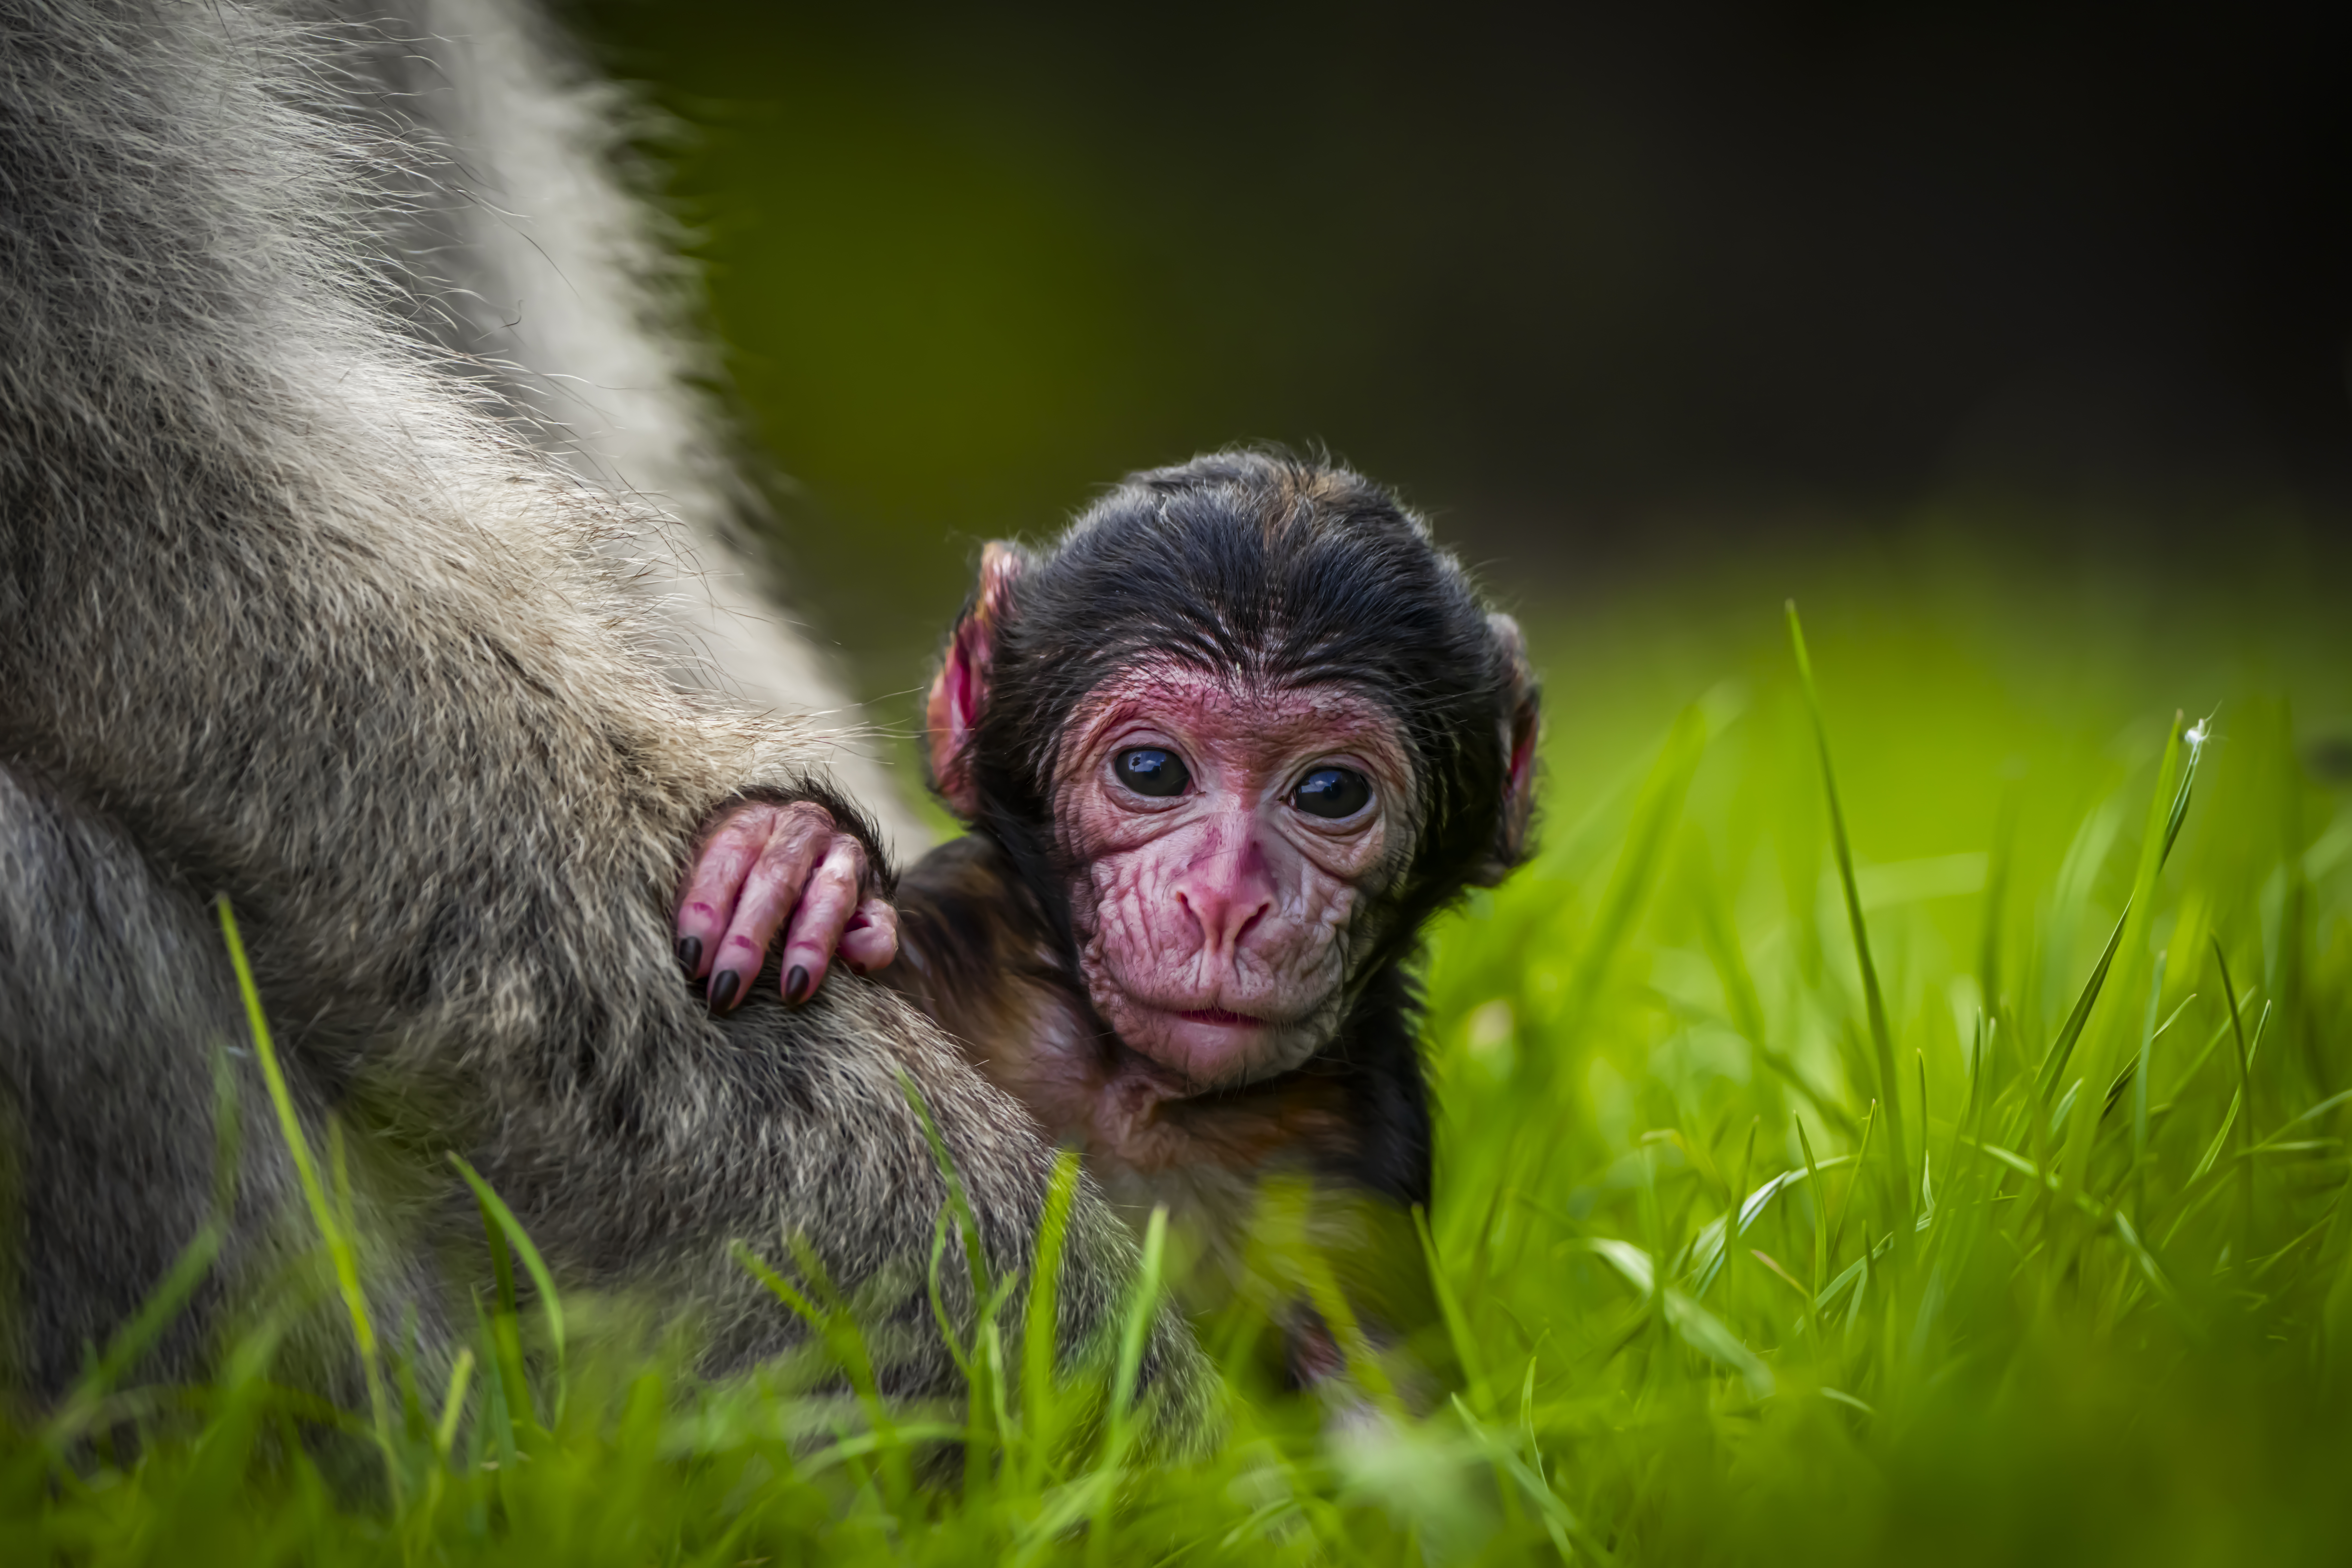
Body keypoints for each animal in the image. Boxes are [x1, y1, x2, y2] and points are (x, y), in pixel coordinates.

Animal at [682, 449, 1541, 1390]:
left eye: (1331, 791)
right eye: (1151, 770)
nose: (1225, 902)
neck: (1128, 1089)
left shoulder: (1355, 1166)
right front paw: (795, 857)